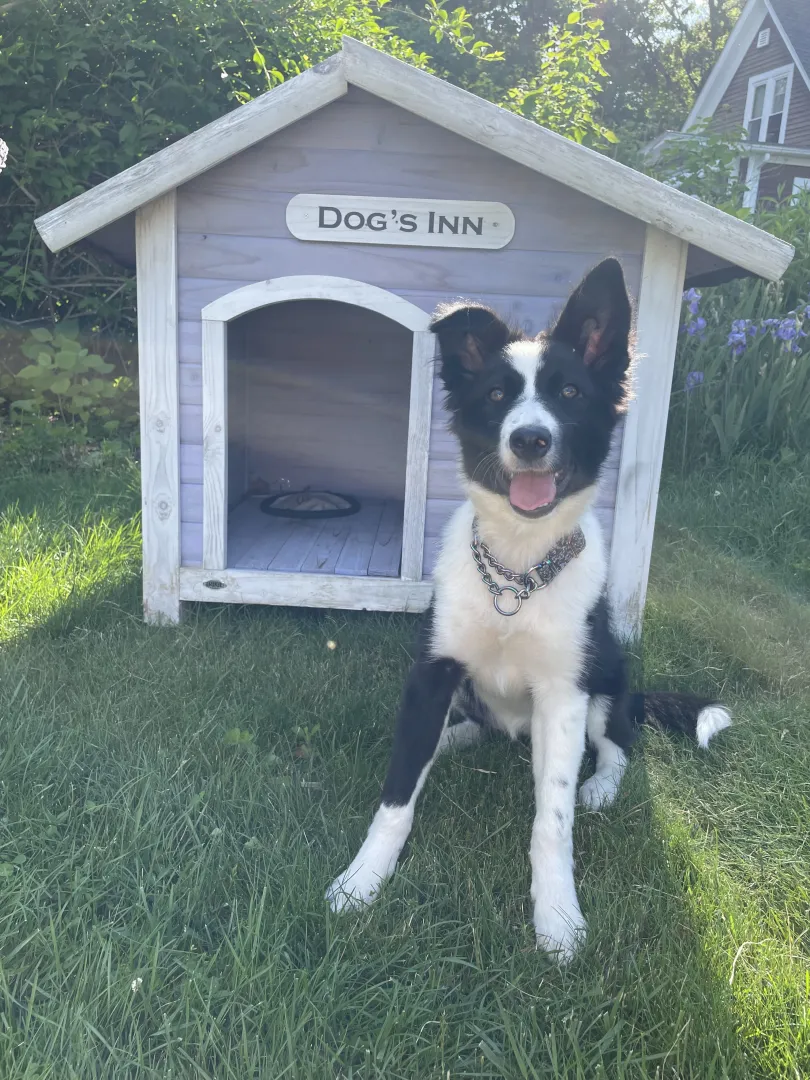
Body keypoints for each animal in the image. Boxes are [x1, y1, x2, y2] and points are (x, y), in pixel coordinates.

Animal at [326, 259, 734, 963]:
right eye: (496, 396)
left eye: (570, 393)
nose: (531, 438)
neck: (516, 570)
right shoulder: (432, 674)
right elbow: (397, 796)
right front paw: (361, 882)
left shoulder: (565, 695)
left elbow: (553, 819)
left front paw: (558, 919)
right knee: (475, 727)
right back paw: (453, 741)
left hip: (607, 676)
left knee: (619, 744)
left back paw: (598, 785)